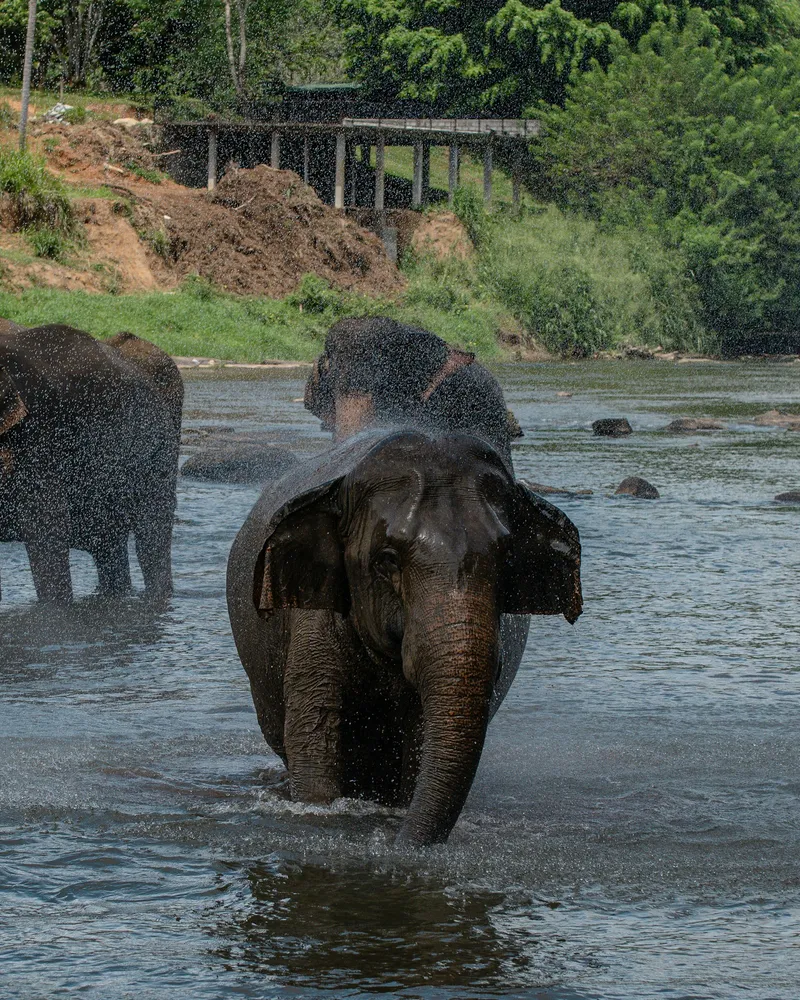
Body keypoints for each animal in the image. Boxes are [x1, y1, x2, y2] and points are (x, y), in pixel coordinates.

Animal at [227, 428, 582, 846]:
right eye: (387, 560)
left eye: (506, 559)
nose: (397, 845)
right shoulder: (313, 618)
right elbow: (312, 728)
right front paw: (320, 814)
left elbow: (420, 733)